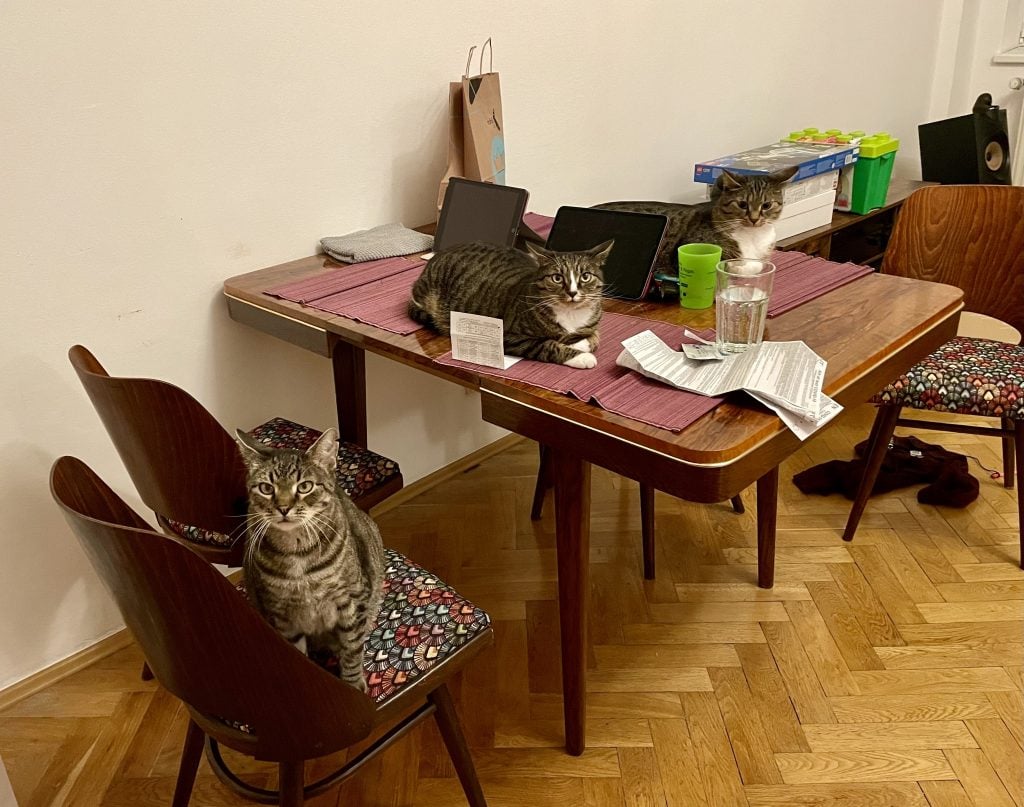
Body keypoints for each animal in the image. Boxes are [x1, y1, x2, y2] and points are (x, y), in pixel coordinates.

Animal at [407, 236, 614, 368]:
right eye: (557, 278)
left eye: (585, 276)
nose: (572, 292)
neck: (571, 313)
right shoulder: (508, 336)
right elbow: (547, 345)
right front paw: (582, 357)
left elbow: (594, 336)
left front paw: (582, 342)